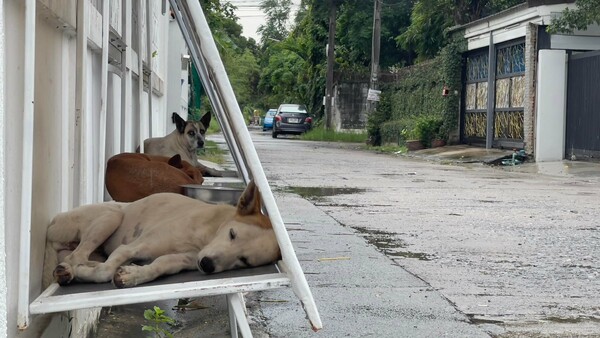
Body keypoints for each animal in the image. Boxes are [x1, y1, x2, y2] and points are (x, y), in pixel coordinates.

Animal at [43, 182, 280, 288]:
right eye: (232, 234)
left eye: (244, 260)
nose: (207, 265)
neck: (206, 235)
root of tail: (53, 222)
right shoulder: (130, 247)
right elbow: (105, 271)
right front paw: (87, 274)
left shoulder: (180, 260)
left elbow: (158, 266)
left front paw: (134, 274)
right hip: (111, 216)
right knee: (76, 257)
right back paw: (73, 270)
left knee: (76, 257)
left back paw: (68, 271)